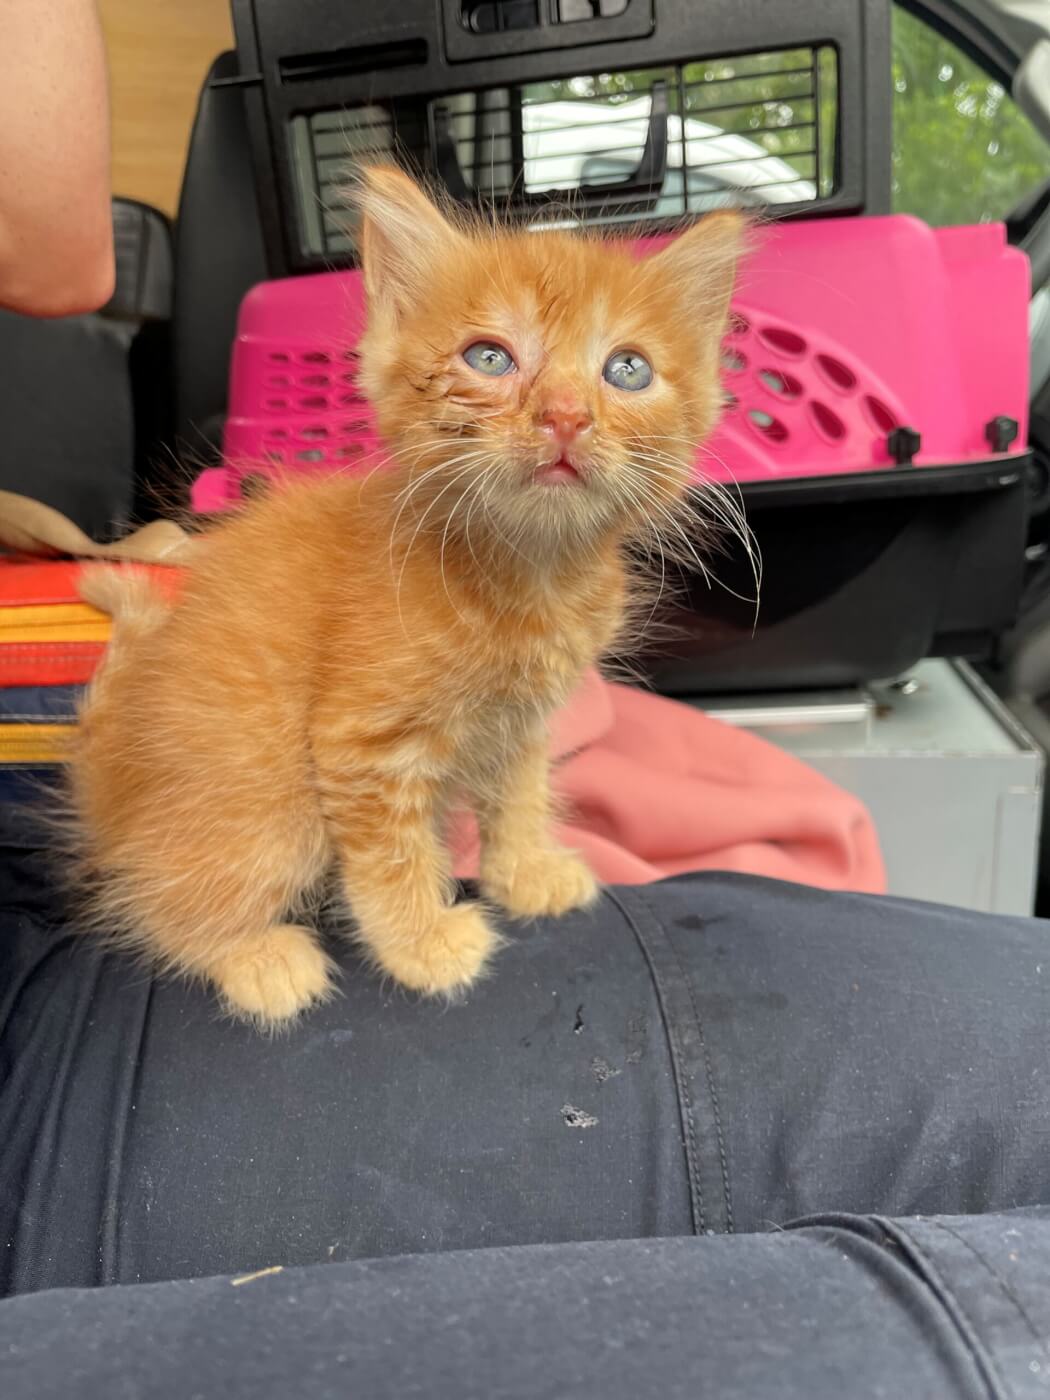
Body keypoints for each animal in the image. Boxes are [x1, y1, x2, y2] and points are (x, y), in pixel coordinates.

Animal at [67, 166, 743, 1028]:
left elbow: (519, 796)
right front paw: (421, 943)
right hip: (274, 808)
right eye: (489, 357)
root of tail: (108, 793)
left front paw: (525, 872)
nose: (565, 416)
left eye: (627, 370)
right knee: (157, 902)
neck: (529, 575)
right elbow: (392, 854)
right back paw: (253, 956)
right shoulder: (363, 744)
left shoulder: (521, 722)